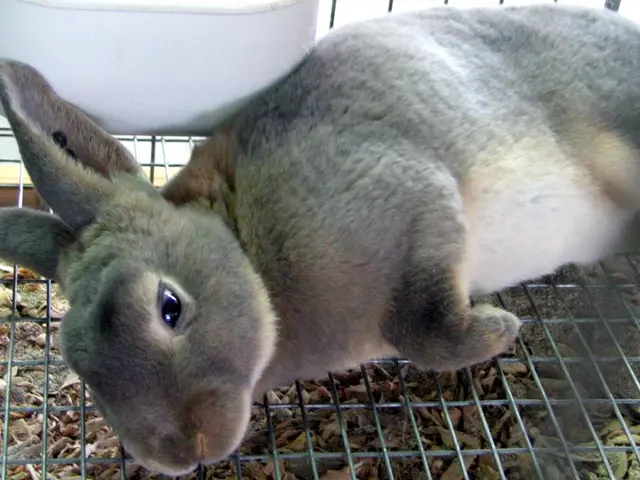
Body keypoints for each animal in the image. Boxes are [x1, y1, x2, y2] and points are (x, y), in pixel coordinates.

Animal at [1, 2, 640, 476]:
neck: (248, 246)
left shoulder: (413, 203)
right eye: (77, 362)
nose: (179, 454)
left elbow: (423, 328)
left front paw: (499, 330)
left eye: (169, 306)